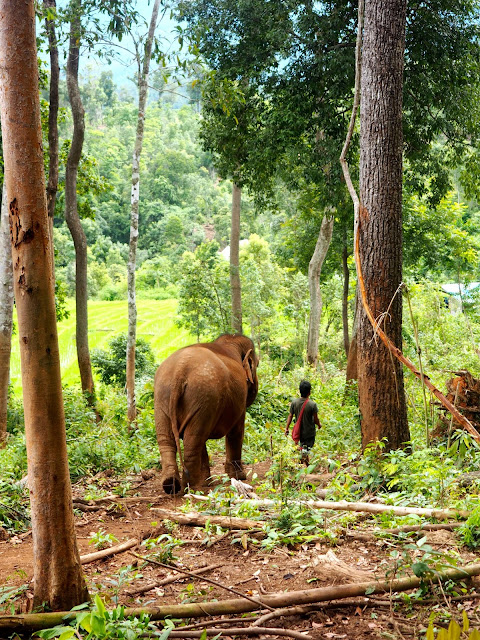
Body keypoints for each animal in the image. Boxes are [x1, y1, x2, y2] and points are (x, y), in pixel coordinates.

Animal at [154, 336, 258, 496]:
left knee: (172, 440)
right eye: (257, 365)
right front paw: (240, 477)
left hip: (163, 396)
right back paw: (191, 487)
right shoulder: (240, 399)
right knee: (193, 440)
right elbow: (236, 431)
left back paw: (171, 485)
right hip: (204, 395)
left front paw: (208, 481)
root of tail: (179, 370)